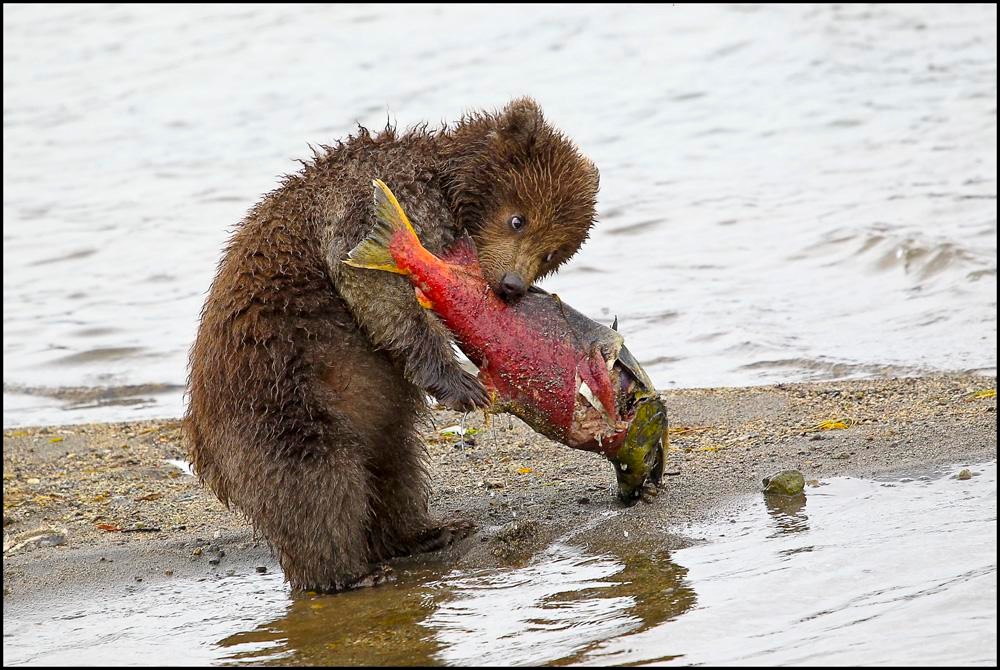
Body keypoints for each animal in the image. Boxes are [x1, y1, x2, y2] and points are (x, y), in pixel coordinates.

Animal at [184, 96, 596, 592]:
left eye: (553, 251)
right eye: (518, 219)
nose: (512, 286)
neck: (447, 187)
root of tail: (201, 441)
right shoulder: (378, 196)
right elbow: (373, 285)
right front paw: (463, 384)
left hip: (366, 411)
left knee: (395, 468)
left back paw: (427, 531)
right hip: (279, 397)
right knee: (318, 484)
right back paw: (348, 574)